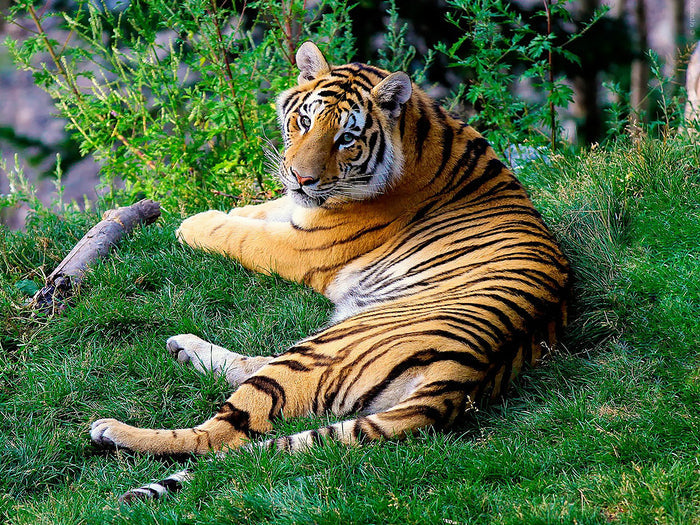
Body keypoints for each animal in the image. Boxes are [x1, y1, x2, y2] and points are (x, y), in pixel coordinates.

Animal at [90, 41, 571, 502]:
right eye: (304, 121)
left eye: (346, 138)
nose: (302, 178)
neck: (420, 133)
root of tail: (464, 378)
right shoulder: (299, 211)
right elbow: (263, 210)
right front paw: (232, 209)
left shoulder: (303, 246)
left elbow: (241, 235)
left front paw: (193, 223)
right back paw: (183, 348)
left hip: (322, 349)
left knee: (221, 435)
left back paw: (113, 430)